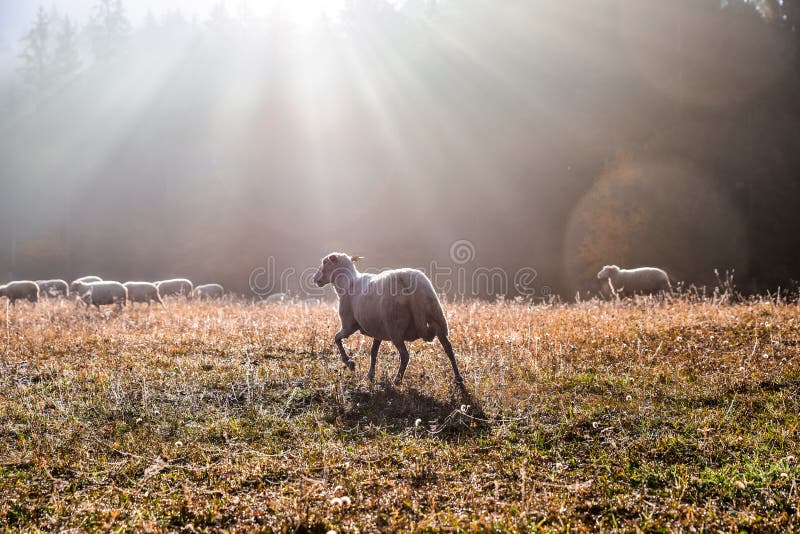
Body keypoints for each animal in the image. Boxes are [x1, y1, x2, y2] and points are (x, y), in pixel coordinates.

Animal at [310, 253, 462, 388]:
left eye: (324, 262)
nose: (315, 279)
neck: (347, 283)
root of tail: (411, 285)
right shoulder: (377, 330)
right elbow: (373, 352)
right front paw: (370, 375)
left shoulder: (349, 326)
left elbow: (337, 338)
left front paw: (350, 363)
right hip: (437, 317)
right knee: (448, 348)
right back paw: (458, 379)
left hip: (395, 327)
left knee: (405, 356)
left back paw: (397, 381)